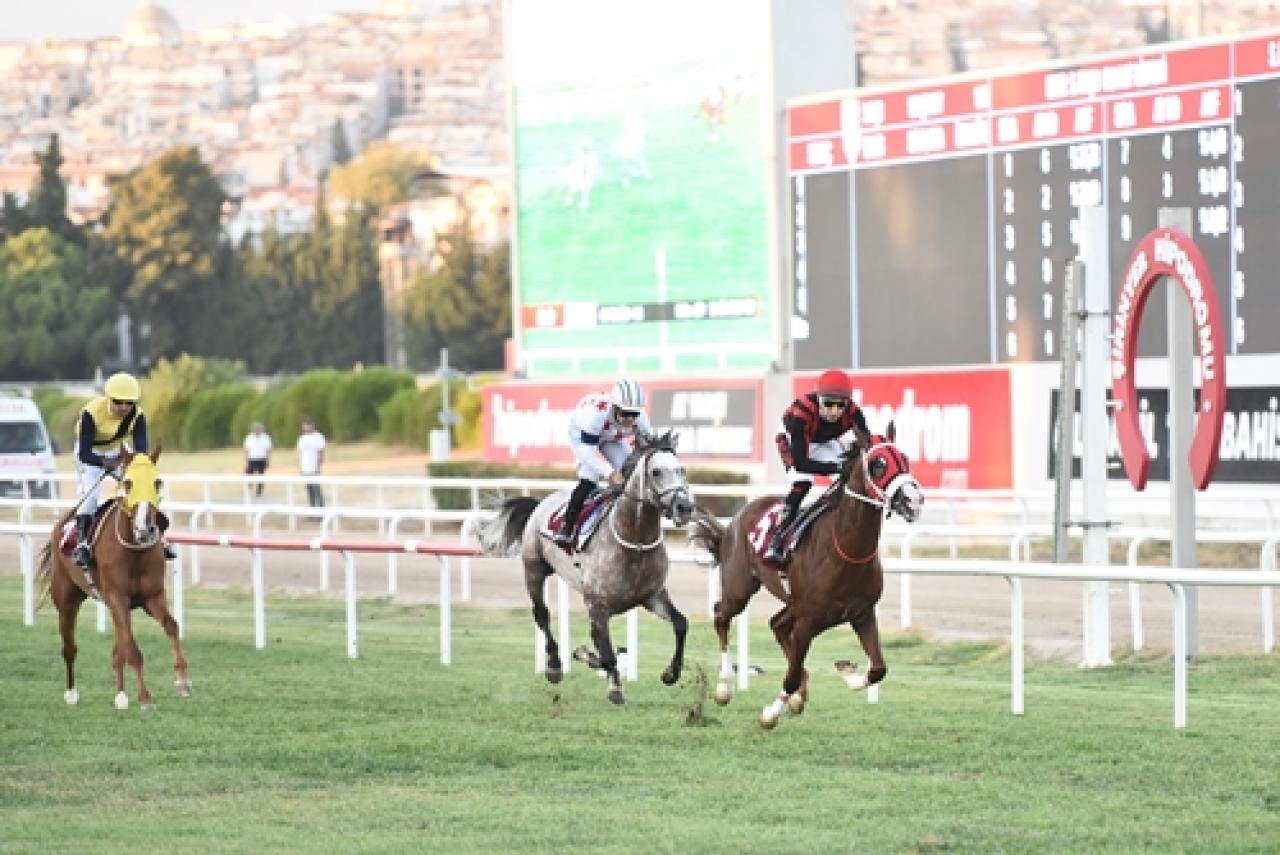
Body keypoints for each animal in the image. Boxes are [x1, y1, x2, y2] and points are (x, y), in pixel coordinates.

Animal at [36, 445, 189, 711]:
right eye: (128, 483)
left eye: (157, 482)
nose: (145, 528)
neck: (134, 550)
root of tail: (62, 521)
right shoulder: (117, 598)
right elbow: (133, 649)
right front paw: (145, 698)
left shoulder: (151, 597)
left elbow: (171, 626)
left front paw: (183, 682)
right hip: (66, 601)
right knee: (69, 648)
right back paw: (71, 693)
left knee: (117, 649)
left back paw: (121, 695)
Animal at [481, 430, 696, 706]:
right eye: (656, 472)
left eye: (682, 469)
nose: (685, 507)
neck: (634, 543)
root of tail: (541, 502)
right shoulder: (597, 604)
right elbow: (606, 652)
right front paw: (614, 687)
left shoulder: (653, 596)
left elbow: (681, 624)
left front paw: (671, 673)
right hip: (534, 569)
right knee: (542, 614)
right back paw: (554, 665)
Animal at [691, 419, 921, 727]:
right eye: (878, 464)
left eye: (905, 459)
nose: (913, 500)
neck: (847, 550)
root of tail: (737, 518)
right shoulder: (809, 620)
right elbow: (790, 675)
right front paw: (770, 713)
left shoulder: (861, 613)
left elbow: (878, 669)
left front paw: (846, 672)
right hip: (740, 588)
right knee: (721, 615)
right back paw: (724, 686)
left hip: (794, 604)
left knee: (776, 624)